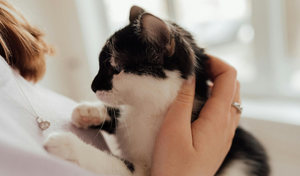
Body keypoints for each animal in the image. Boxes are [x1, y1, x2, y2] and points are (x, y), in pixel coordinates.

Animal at [44, 5, 270, 176]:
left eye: (115, 68)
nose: (93, 86)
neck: (147, 111)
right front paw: (87, 112)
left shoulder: (143, 171)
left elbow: (115, 165)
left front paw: (68, 145)